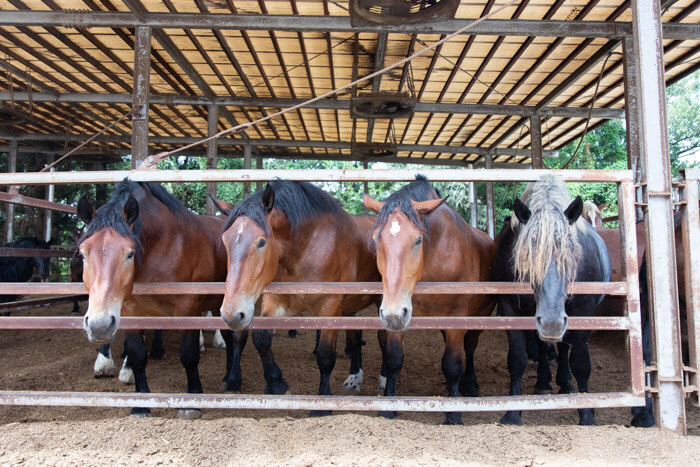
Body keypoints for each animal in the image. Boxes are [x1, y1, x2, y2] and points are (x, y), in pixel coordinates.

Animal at [76, 180, 246, 420]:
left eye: (129, 253)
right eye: (83, 254)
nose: (98, 325)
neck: (165, 243)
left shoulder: (187, 310)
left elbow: (189, 355)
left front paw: (192, 400)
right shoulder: (131, 311)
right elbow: (138, 355)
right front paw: (140, 405)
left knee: (236, 338)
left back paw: (233, 383)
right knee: (230, 339)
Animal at [217, 180, 378, 416]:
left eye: (261, 242)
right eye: (226, 242)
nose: (231, 314)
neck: (306, 249)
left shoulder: (330, 308)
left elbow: (325, 356)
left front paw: (322, 404)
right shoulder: (276, 301)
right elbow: (261, 339)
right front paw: (276, 384)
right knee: (356, 338)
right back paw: (354, 380)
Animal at [360, 177, 498, 426]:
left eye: (418, 241)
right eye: (376, 241)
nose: (392, 313)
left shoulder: (457, 319)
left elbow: (452, 364)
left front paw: (453, 415)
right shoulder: (399, 315)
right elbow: (394, 359)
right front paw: (388, 408)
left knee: (470, 347)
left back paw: (470, 385)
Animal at [492, 176, 612, 428]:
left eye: (571, 254)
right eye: (526, 257)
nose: (552, 323)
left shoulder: (584, 313)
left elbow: (580, 363)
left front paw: (587, 414)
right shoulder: (510, 309)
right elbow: (517, 360)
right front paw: (512, 413)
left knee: (564, 349)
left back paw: (565, 384)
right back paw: (543, 383)